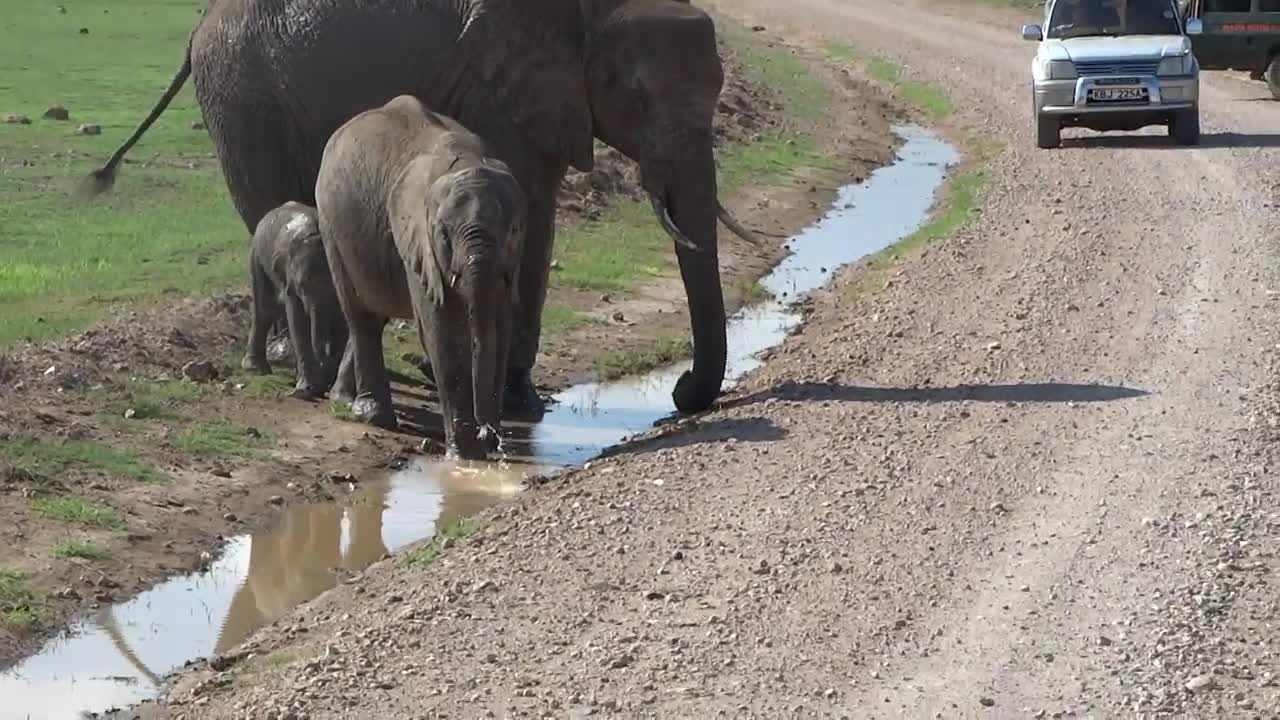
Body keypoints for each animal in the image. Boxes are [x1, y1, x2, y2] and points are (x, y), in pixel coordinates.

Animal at [240, 199, 348, 397]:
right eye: (303, 285)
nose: (325, 388)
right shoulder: (290, 277)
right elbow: (297, 319)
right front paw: (308, 388)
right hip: (256, 257)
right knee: (264, 310)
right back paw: (256, 370)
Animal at [317, 95, 527, 456]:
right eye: (443, 235)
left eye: (513, 231)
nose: (489, 436)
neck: (467, 161)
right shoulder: (416, 239)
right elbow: (440, 328)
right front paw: (463, 453)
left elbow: (500, 329)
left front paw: (483, 446)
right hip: (331, 226)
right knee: (361, 317)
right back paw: (372, 415)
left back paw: (343, 400)